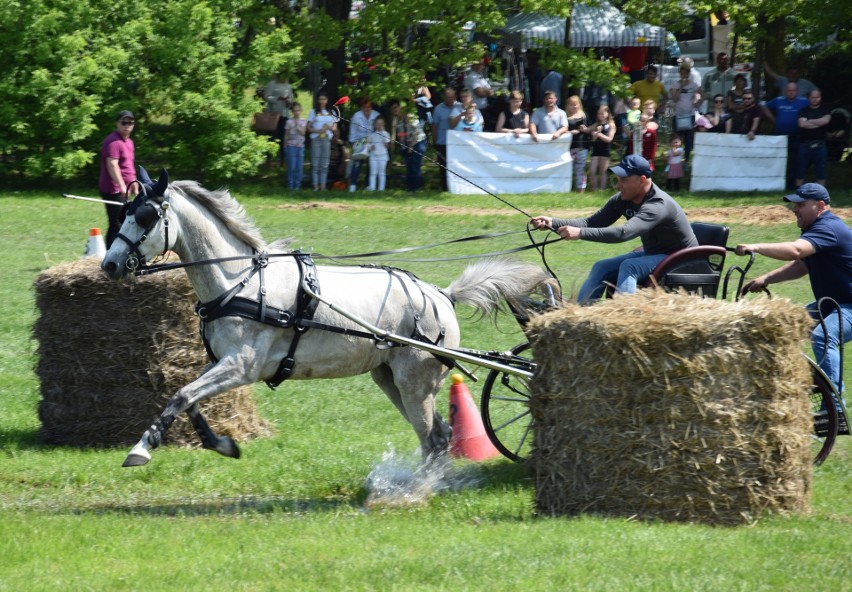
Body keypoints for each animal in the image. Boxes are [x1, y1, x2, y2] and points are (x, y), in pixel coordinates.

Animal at [103, 170, 552, 468]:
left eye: (146, 216)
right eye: (123, 211)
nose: (109, 264)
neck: (239, 281)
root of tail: (441, 296)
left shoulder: (240, 366)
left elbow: (181, 396)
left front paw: (140, 449)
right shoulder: (219, 363)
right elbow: (189, 399)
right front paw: (225, 445)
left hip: (416, 381)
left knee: (435, 436)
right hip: (389, 378)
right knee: (434, 437)